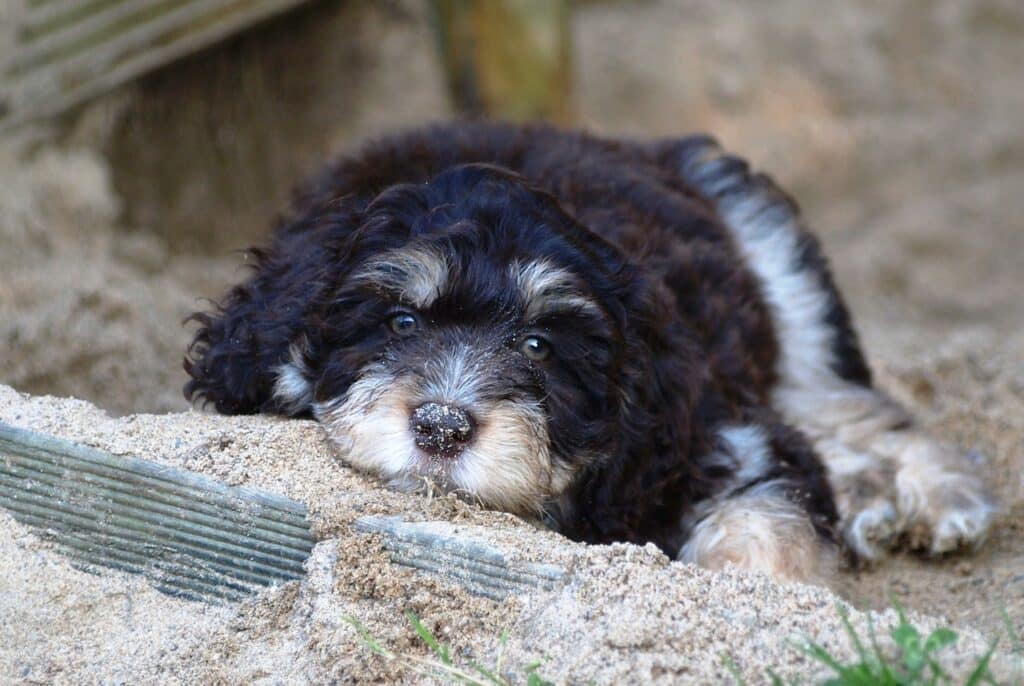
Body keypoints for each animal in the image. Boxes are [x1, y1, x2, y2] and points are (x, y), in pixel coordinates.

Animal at [182, 123, 991, 585]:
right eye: (401, 322)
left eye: (540, 346)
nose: (442, 426)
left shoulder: (719, 435)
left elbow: (765, 529)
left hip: (775, 263)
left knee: (847, 405)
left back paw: (942, 495)